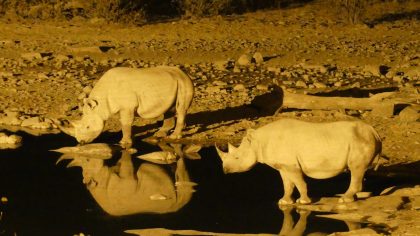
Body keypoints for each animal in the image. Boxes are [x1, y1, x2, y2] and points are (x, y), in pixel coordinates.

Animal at [57, 66, 194, 148]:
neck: (100, 103)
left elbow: (125, 122)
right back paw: (159, 134)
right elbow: (125, 123)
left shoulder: (127, 106)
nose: (81, 142)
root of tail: (184, 73)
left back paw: (174, 137)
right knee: (170, 108)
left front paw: (124, 143)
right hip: (175, 82)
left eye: (88, 127)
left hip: (184, 83)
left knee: (181, 109)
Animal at [215, 119, 382, 206]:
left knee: (356, 169)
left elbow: (299, 182)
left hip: (360, 140)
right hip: (360, 139)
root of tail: (374, 131)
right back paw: (352, 198)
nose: (224, 170)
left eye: (237, 158)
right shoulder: (283, 166)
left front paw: (304, 202)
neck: (258, 142)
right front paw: (284, 202)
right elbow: (287, 184)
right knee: (359, 171)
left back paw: (344, 199)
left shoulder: (291, 166)